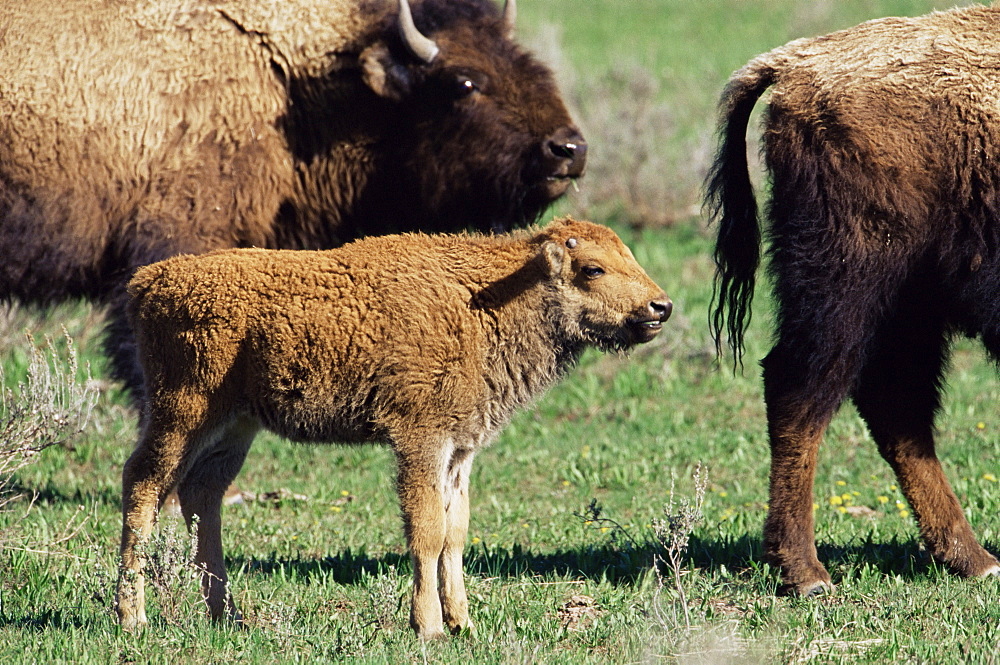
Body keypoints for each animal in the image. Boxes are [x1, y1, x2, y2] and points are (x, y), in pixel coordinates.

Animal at [113, 218, 668, 640]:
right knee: (143, 486)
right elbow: (427, 531)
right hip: (183, 412)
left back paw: (227, 617)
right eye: (592, 269)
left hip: (234, 427)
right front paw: (429, 627)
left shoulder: (459, 451)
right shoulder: (420, 441)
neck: (489, 296)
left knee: (201, 496)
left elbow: (455, 531)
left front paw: (463, 623)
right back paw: (133, 618)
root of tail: (148, 282)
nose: (659, 307)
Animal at [708, 5, 1000, 596]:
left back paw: (972, 559)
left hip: (907, 305)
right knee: (801, 390)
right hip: (849, 283)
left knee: (896, 408)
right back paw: (806, 574)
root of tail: (796, 63)